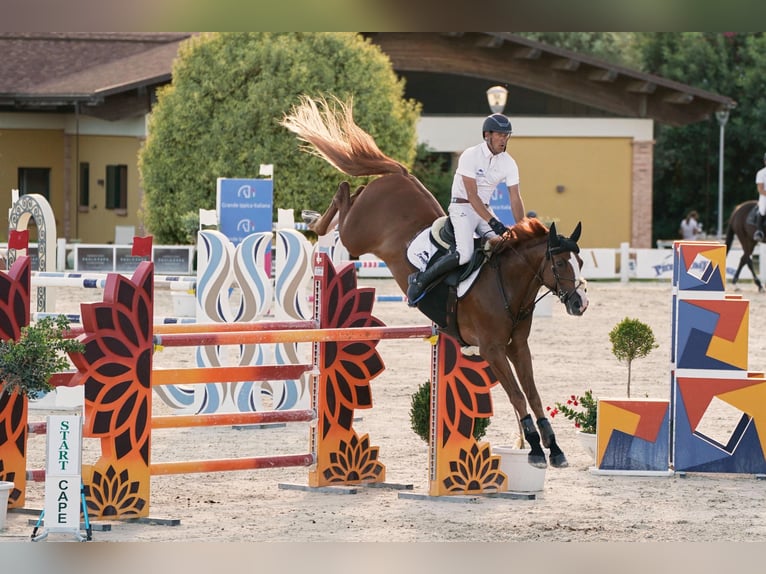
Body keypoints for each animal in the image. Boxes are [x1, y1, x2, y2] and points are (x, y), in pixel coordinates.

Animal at [281, 96, 589, 469]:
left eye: (580, 262)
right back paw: (313, 220)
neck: (508, 287)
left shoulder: (518, 347)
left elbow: (532, 394)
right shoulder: (493, 350)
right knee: (343, 198)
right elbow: (517, 396)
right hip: (356, 234)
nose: (580, 303)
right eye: (558, 263)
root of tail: (401, 175)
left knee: (349, 193)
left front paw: (554, 448)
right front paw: (533, 448)